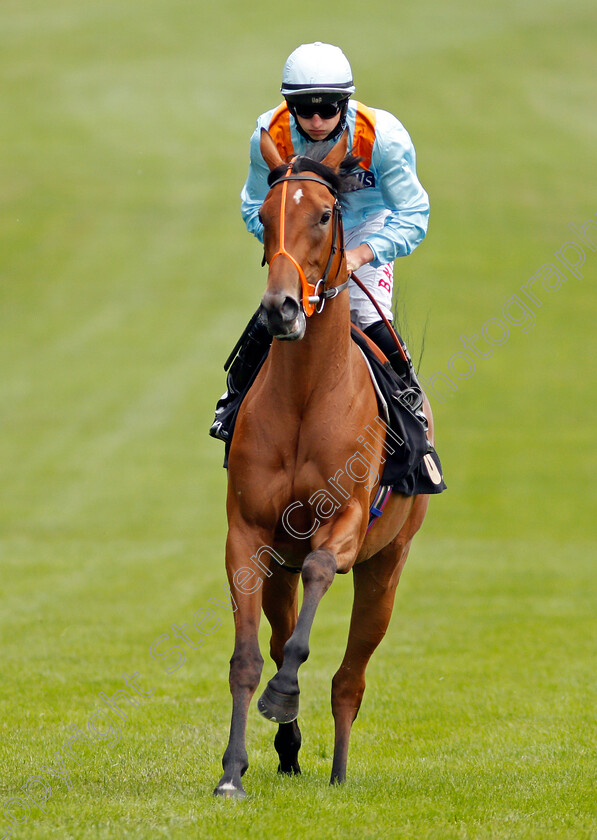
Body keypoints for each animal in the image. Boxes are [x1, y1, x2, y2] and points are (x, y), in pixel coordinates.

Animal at [213, 128, 434, 796]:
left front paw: (284, 694)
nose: (281, 309)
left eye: (324, 214)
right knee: (284, 631)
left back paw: (337, 770)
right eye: (264, 217)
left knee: (349, 678)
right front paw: (232, 771)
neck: (308, 396)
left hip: (387, 567)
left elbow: (317, 571)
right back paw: (289, 750)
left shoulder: (347, 525)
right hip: (279, 567)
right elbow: (246, 657)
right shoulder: (249, 534)